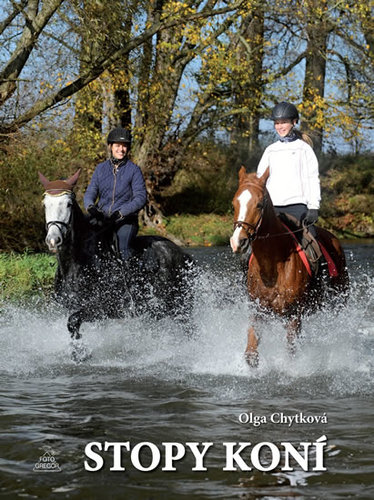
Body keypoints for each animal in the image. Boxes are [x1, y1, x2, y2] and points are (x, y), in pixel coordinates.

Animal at [38, 170, 196, 358]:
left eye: (68, 204)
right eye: (45, 205)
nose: (53, 240)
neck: (79, 261)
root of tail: (181, 253)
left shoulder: (101, 309)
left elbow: (73, 321)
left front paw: (80, 353)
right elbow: (72, 326)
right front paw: (78, 351)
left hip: (180, 306)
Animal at [229, 166, 350, 366]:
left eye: (259, 204)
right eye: (234, 204)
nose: (238, 241)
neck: (272, 266)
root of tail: (334, 239)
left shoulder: (294, 316)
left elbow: (290, 355)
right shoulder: (258, 313)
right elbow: (251, 354)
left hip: (338, 303)